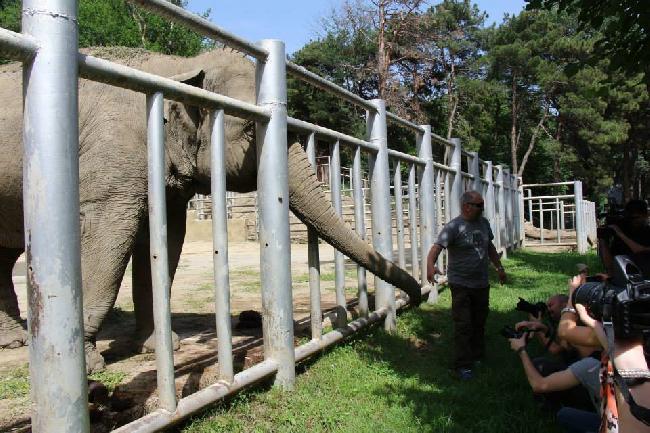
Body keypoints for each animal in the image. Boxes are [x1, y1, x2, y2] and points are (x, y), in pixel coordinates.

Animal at [0, 46, 422, 372]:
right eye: (252, 130)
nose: (417, 296)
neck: (175, 67)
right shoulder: (110, 161)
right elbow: (108, 234)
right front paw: (90, 366)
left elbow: (165, 238)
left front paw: (157, 346)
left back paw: (14, 341)